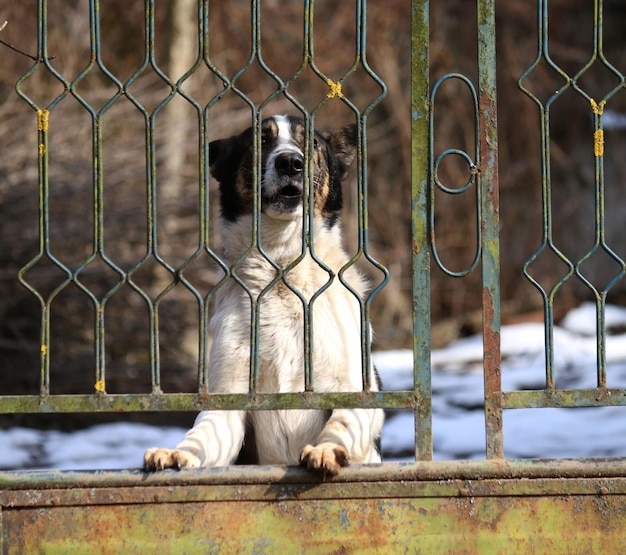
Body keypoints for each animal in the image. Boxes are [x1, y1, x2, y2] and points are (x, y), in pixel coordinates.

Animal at [143, 116, 382, 478]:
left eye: (311, 143)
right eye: (261, 140)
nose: (290, 162)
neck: (281, 271)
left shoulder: (357, 392)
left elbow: (342, 423)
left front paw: (326, 451)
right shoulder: (229, 400)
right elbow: (201, 435)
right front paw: (176, 454)